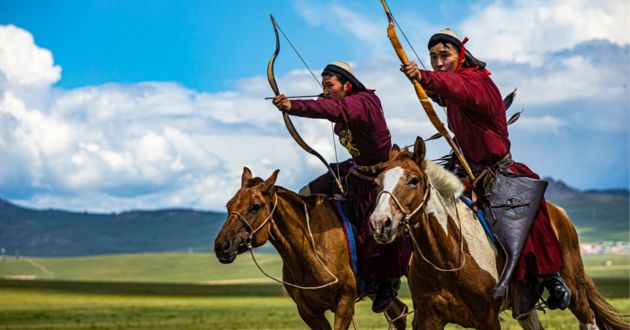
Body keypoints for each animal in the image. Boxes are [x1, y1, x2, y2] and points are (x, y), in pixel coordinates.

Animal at [215, 168, 412, 330]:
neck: (313, 249)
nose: (221, 246)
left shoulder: (345, 304)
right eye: (229, 205)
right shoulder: (309, 312)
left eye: (255, 206)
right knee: (400, 313)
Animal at [368, 137, 628, 330]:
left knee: (588, 318)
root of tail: (560, 213)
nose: (380, 223)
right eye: (377, 182)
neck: (448, 258)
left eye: (414, 180)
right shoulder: (427, 318)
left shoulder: (488, 319)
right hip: (525, 306)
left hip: (576, 292)